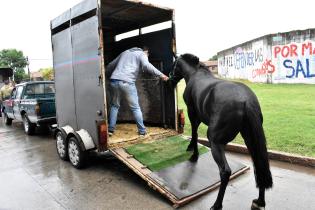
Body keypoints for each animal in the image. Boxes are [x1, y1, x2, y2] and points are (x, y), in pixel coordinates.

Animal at [169, 54, 272, 210]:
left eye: (174, 65)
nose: (170, 79)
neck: (195, 73)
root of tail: (246, 101)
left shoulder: (192, 113)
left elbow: (194, 132)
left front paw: (193, 154)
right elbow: (194, 132)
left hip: (215, 142)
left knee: (225, 171)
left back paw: (217, 204)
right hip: (250, 139)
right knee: (258, 164)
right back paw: (259, 201)